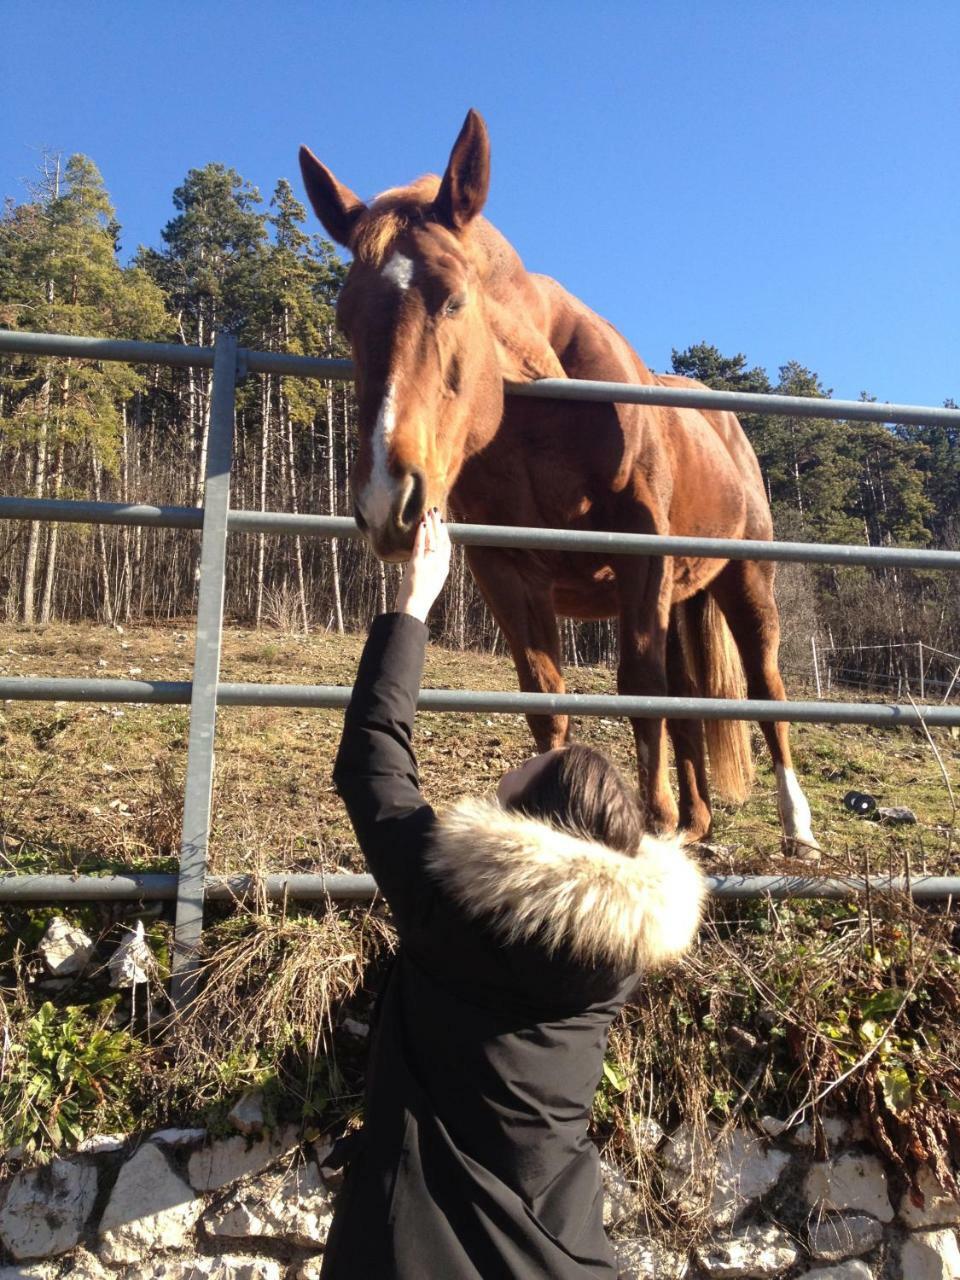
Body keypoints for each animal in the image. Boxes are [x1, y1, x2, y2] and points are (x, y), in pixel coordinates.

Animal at [299, 107, 819, 849]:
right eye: (346, 319)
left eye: (453, 301)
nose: (385, 500)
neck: (541, 411)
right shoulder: (507, 570)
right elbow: (546, 698)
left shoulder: (641, 553)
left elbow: (639, 684)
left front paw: (653, 822)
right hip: (685, 593)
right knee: (691, 698)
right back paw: (696, 821)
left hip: (748, 580)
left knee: (766, 689)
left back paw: (794, 826)